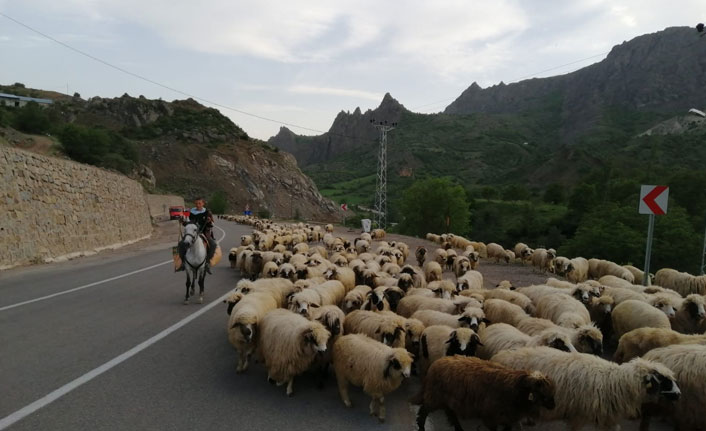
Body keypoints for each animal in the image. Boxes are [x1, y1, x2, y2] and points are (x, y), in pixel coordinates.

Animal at [410, 356, 552, 431]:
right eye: (541, 394)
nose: (553, 406)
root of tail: (435, 364)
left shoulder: (508, 417)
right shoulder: (491, 416)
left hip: (448, 399)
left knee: (450, 413)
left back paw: (459, 428)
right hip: (435, 396)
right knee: (424, 410)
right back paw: (421, 426)